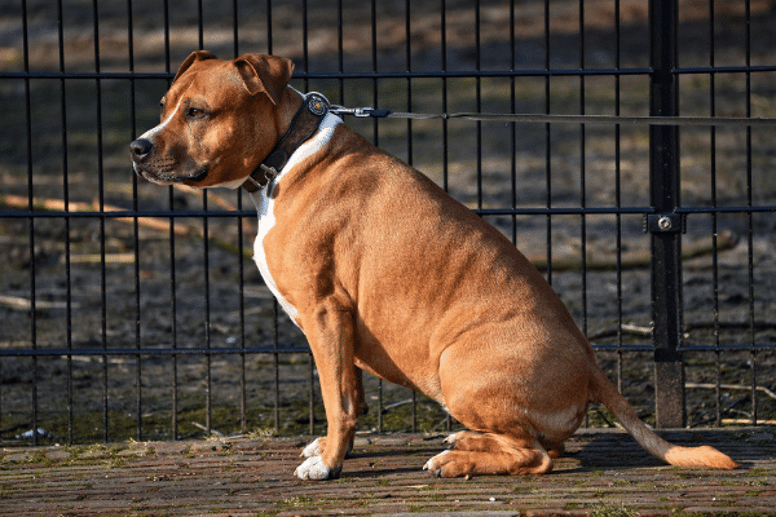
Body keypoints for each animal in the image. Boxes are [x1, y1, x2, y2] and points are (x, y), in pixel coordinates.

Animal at [130, 50, 736, 478]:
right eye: (163, 105)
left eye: (198, 112)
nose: (137, 148)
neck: (287, 152)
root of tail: (591, 364)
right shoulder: (340, 324)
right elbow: (350, 394)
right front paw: (334, 450)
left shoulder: (325, 313)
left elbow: (335, 399)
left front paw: (329, 464)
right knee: (543, 445)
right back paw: (465, 441)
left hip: (456, 367)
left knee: (537, 456)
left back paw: (459, 460)